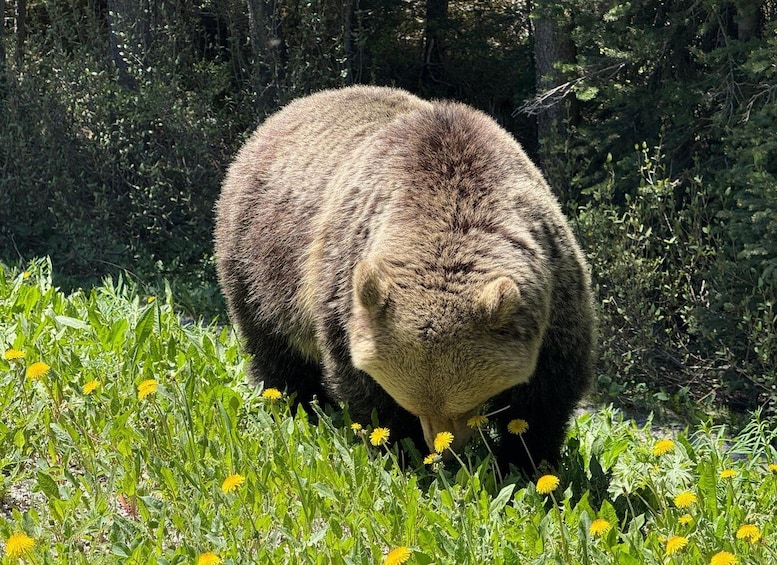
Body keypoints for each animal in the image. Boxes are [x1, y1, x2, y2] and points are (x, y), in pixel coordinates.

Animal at [214, 85, 595, 475]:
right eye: (415, 404)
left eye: (463, 403)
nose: (444, 450)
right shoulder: (344, 285)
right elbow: (363, 388)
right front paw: (398, 449)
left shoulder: (553, 284)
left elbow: (547, 391)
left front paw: (524, 460)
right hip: (259, 260)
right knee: (276, 350)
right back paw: (295, 405)